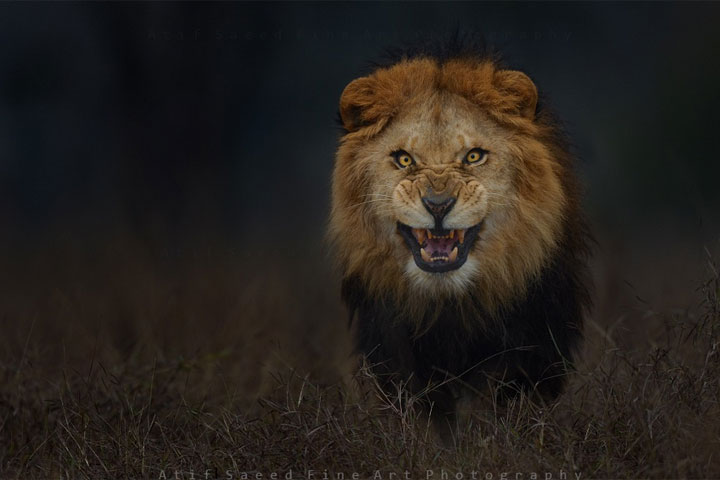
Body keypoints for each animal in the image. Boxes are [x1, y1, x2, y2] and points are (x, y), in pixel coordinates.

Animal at [329, 39, 592, 439]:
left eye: (473, 156)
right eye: (404, 160)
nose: (438, 205)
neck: (449, 301)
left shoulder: (530, 347)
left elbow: (498, 411)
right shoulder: (394, 349)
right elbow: (427, 420)